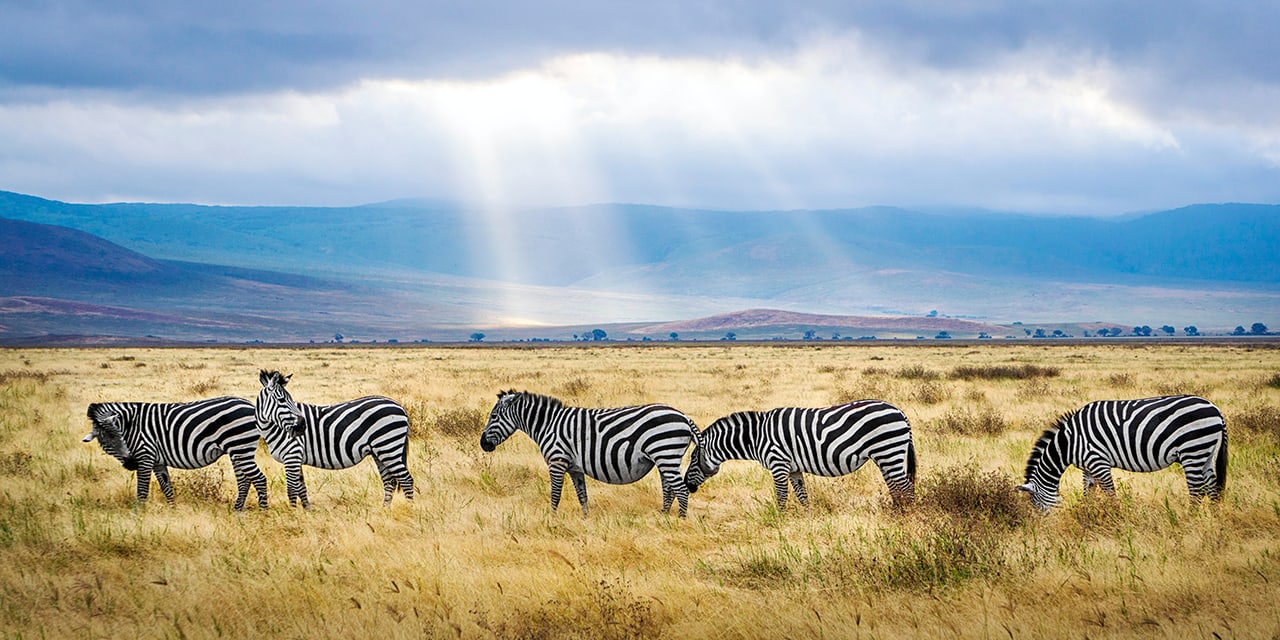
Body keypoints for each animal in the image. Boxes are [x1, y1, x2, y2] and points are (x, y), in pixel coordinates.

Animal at [82, 396, 268, 510]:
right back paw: (238, 510)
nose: (130, 463)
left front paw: (138, 515)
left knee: (259, 479)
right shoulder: (157, 461)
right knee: (244, 480)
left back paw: (263, 512)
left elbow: (142, 490)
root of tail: (250, 405)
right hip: (237, 450)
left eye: (120, 436)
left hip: (240, 447)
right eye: (106, 443)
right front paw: (173, 510)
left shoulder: (145, 455)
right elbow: (167, 487)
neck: (132, 425)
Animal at [255, 370, 414, 508]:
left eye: (290, 400)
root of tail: (399, 406)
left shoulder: (292, 455)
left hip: (388, 447)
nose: (302, 426)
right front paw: (307, 511)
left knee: (406, 480)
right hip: (380, 452)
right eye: (281, 400)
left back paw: (410, 509)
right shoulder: (296, 458)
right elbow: (301, 488)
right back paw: (385, 510)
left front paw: (292, 513)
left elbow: (292, 490)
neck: (275, 428)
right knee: (389, 481)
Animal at [479, 390, 698, 517]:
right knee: (669, 488)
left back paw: (680, 521)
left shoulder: (557, 461)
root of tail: (683, 416)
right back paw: (663, 516)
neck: (548, 425)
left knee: (681, 489)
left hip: (665, 454)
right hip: (664, 458)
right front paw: (586, 519)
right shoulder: (575, 468)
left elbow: (555, 494)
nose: (483, 444)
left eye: (494, 416)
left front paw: (552, 519)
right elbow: (582, 495)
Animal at [683, 400, 917, 510]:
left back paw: (907, 516)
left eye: (693, 459)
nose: (687, 485)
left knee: (905, 487)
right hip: (886, 456)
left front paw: (780, 521)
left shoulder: (778, 464)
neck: (756, 437)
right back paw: (896, 512)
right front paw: (807, 520)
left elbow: (781, 496)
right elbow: (802, 496)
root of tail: (900, 412)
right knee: (895, 487)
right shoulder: (793, 469)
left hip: (888, 450)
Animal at [1019, 395, 1227, 511]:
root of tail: (1215, 409)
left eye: (1036, 505)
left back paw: (1188, 521)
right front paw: (1087, 514)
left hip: (1192, 450)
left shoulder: (1098, 461)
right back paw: (1214, 521)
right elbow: (1088, 491)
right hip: (1206, 453)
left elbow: (1110, 493)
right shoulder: (1088, 467)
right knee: (1211, 487)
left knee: (1197, 490)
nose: (1043, 528)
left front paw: (1116, 519)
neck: (1069, 443)